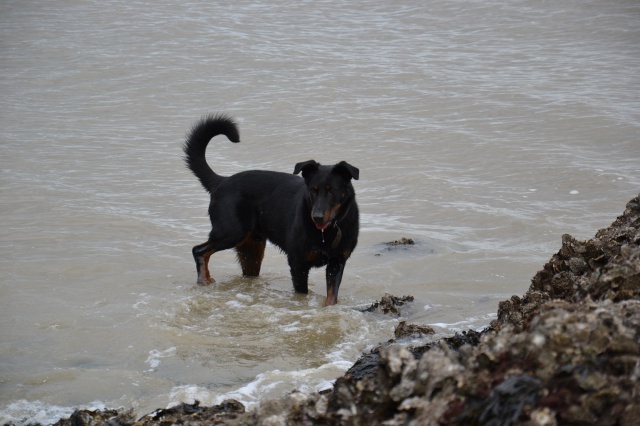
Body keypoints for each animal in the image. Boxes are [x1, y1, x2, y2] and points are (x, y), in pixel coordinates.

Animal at [184, 114, 360, 306]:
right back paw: (204, 280)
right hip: (231, 232)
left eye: (332, 190)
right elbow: (301, 294)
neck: (326, 232)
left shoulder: (337, 262)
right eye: (313, 190)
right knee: (199, 251)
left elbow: (331, 296)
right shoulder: (298, 263)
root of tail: (220, 182)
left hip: (251, 248)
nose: (317, 217)